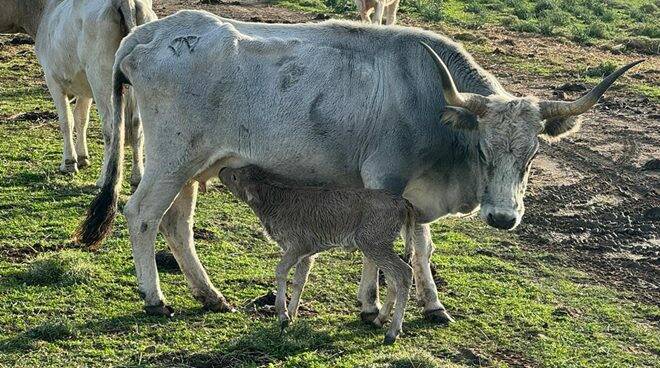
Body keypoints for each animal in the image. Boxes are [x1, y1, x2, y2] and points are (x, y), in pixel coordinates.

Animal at [0, 0, 156, 188]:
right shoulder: (85, 88)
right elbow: (81, 119)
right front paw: (82, 157)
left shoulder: (53, 80)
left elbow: (66, 121)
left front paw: (69, 162)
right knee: (136, 123)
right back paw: (137, 176)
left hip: (101, 79)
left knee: (112, 127)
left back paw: (104, 178)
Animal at [76, 10, 640, 322]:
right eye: (482, 148)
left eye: (532, 154)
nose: (503, 217)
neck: (430, 102)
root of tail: (151, 33)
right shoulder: (384, 182)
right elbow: (381, 249)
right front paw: (370, 306)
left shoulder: (413, 196)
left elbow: (420, 246)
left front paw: (433, 305)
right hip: (169, 160)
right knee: (142, 215)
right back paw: (156, 299)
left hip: (195, 165)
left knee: (177, 224)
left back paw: (210, 295)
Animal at [219, 165, 412, 344]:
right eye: (241, 169)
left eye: (235, 177)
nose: (222, 170)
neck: (275, 200)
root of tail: (402, 202)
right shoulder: (307, 254)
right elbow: (299, 281)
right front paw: (291, 314)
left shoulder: (297, 246)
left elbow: (280, 271)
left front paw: (283, 315)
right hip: (380, 247)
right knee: (392, 278)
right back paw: (380, 319)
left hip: (374, 244)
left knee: (404, 273)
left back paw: (392, 332)